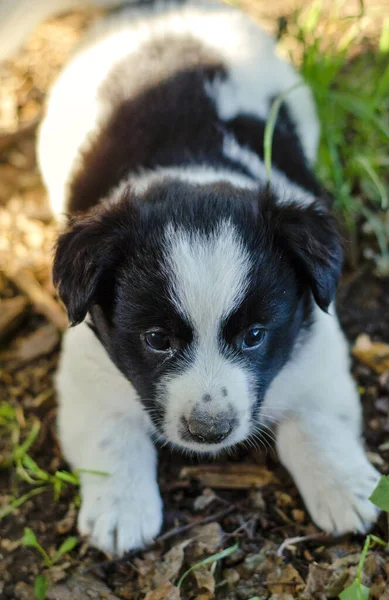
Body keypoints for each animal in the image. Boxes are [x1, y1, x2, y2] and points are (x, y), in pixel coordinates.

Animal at [3, 0, 378, 556]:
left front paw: (344, 487)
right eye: (157, 340)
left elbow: (316, 418)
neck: (193, 172)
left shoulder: (316, 338)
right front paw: (121, 508)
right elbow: (112, 434)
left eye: (254, 336)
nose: (210, 431)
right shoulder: (87, 364)